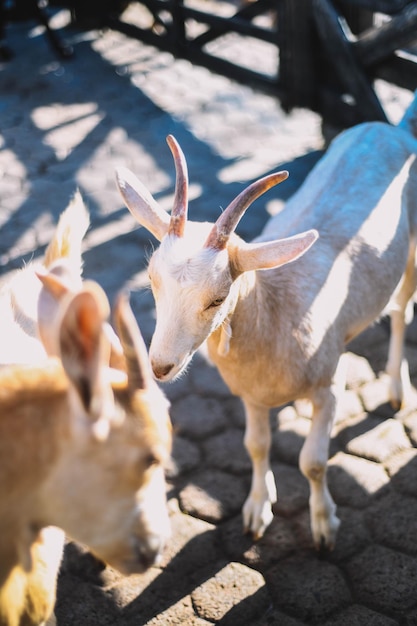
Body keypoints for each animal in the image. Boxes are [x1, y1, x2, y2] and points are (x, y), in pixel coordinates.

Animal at [115, 95, 416, 548]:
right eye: (151, 279)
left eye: (218, 297)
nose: (161, 366)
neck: (277, 312)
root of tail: (393, 129)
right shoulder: (251, 395)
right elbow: (256, 446)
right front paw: (257, 512)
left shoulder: (330, 385)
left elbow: (313, 461)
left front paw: (324, 525)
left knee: (400, 309)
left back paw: (398, 389)